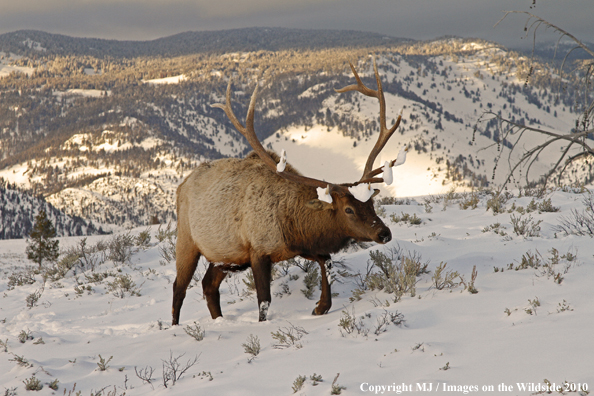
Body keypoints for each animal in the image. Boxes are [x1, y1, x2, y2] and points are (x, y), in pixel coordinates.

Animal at [169, 59, 404, 324]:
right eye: (348, 209)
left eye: (371, 203)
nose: (384, 233)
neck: (290, 222)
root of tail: (182, 185)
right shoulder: (258, 251)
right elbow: (264, 301)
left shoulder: (301, 247)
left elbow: (327, 262)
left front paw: (320, 306)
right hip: (187, 241)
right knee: (179, 288)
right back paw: (175, 326)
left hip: (226, 256)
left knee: (208, 285)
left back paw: (219, 320)